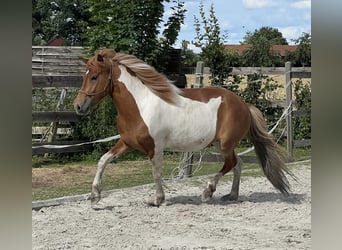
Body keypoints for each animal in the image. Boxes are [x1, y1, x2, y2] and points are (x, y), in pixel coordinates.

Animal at [73, 48, 292, 207]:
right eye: (84, 76)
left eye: (94, 77)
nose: (78, 106)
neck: (140, 105)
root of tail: (244, 104)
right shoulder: (127, 142)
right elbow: (103, 160)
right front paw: (95, 195)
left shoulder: (155, 148)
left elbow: (156, 173)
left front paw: (157, 200)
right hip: (222, 144)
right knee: (238, 163)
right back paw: (231, 195)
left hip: (225, 144)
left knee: (230, 164)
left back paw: (207, 192)